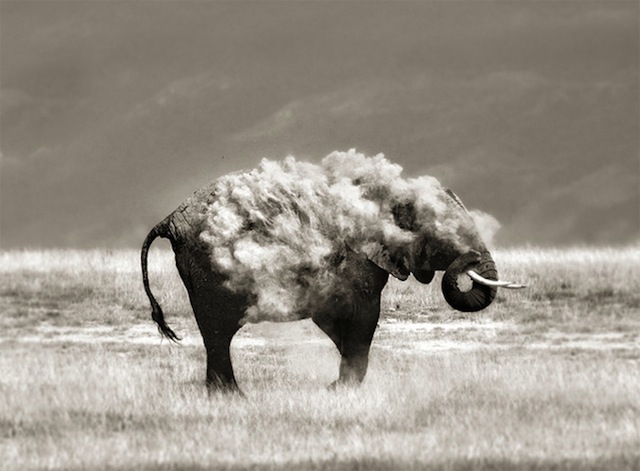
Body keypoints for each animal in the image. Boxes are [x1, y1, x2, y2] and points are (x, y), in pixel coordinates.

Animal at [141, 151, 523, 392]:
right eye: (445, 236)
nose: (466, 262)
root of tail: (170, 219)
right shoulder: (358, 263)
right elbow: (364, 318)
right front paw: (341, 390)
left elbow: (336, 323)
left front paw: (335, 386)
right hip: (208, 268)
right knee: (219, 332)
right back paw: (232, 397)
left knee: (215, 335)